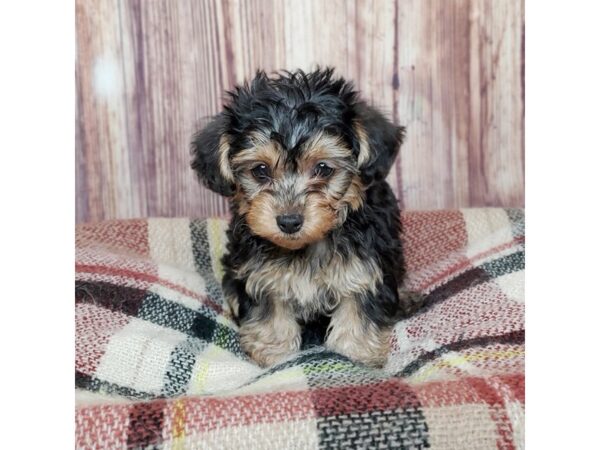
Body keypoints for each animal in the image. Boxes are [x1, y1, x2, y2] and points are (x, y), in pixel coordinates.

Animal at [192, 67, 418, 370]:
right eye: (260, 170)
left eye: (323, 168)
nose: (289, 221)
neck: (306, 246)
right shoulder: (259, 275)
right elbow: (270, 315)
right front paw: (275, 356)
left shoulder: (365, 268)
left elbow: (358, 313)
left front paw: (355, 356)